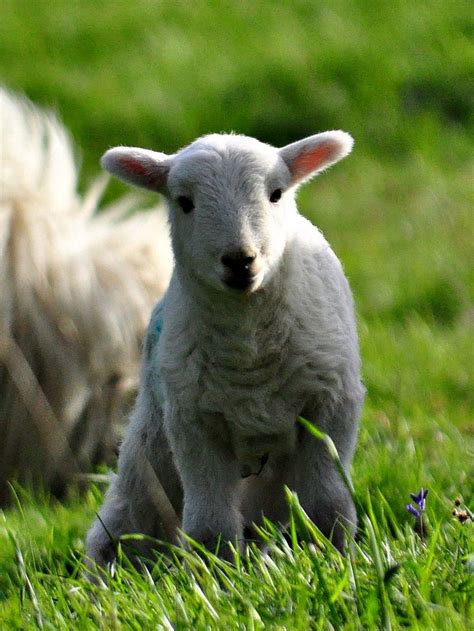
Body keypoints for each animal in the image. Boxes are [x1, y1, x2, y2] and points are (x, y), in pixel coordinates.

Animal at [87, 130, 364, 568]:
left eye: (276, 193)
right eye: (185, 201)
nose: (239, 260)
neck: (250, 351)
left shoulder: (331, 404)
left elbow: (327, 505)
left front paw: (336, 561)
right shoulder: (193, 422)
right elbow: (209, 525)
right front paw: (220, 575)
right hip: (152, 451)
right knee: (123, 525)